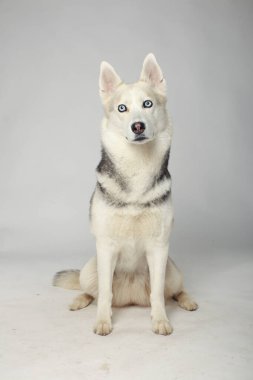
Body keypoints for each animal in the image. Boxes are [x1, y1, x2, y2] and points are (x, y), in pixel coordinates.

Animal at [52, 54, 198, 336]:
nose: (137, 126)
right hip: (90, 268)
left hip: (172, 271)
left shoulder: (159, 247)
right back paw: (80, 300)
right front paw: (102, 321)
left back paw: (187, 301)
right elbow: (105, 295)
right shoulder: (106, 246)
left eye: (147, 103)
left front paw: (160, 320)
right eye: (122, 108)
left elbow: (158, 296)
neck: (137, 171)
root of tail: (131, 297)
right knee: (95, 291)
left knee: (173, 291)